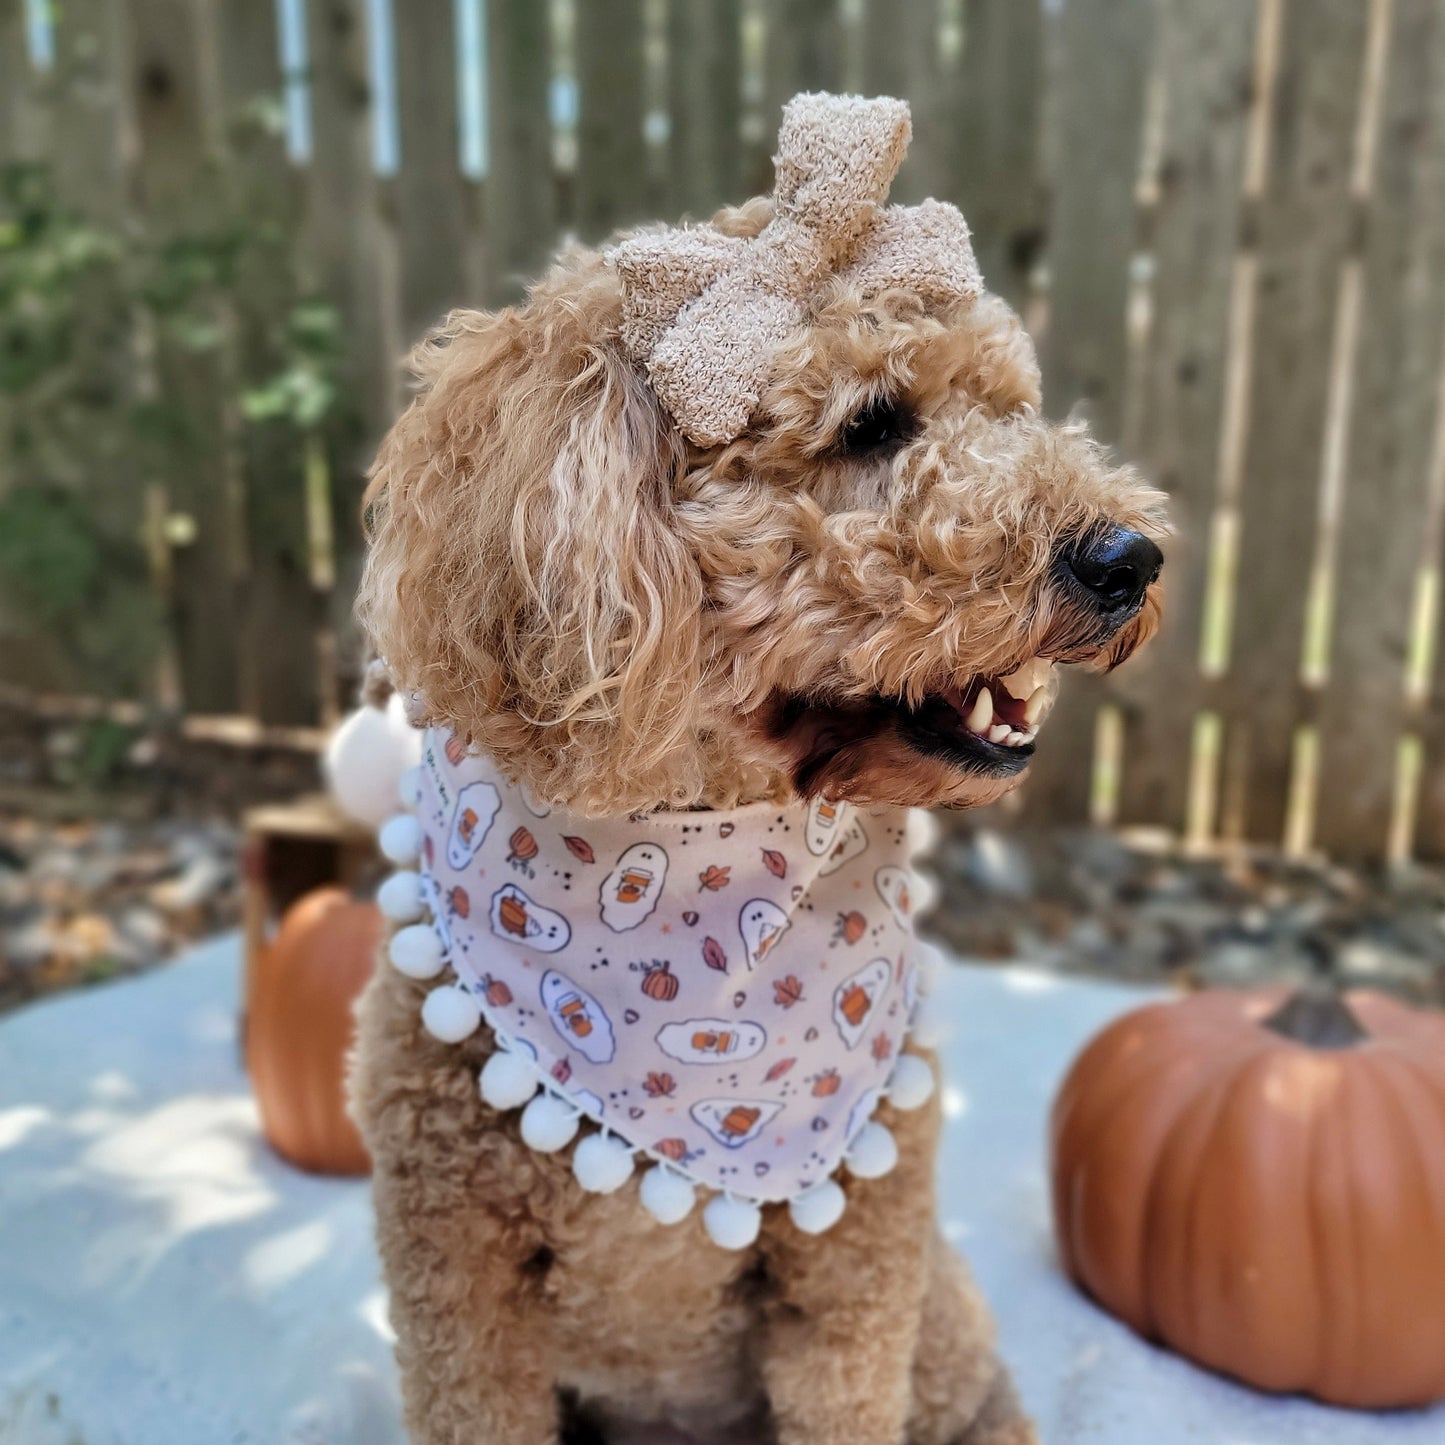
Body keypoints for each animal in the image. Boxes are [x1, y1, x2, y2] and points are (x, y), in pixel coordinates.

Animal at [346, 93, 1161, 1445]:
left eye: (1008, 409)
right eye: (872, 423)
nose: (1129, 555)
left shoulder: (853, 1276)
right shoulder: (455, 1277)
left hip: (942, 1332)